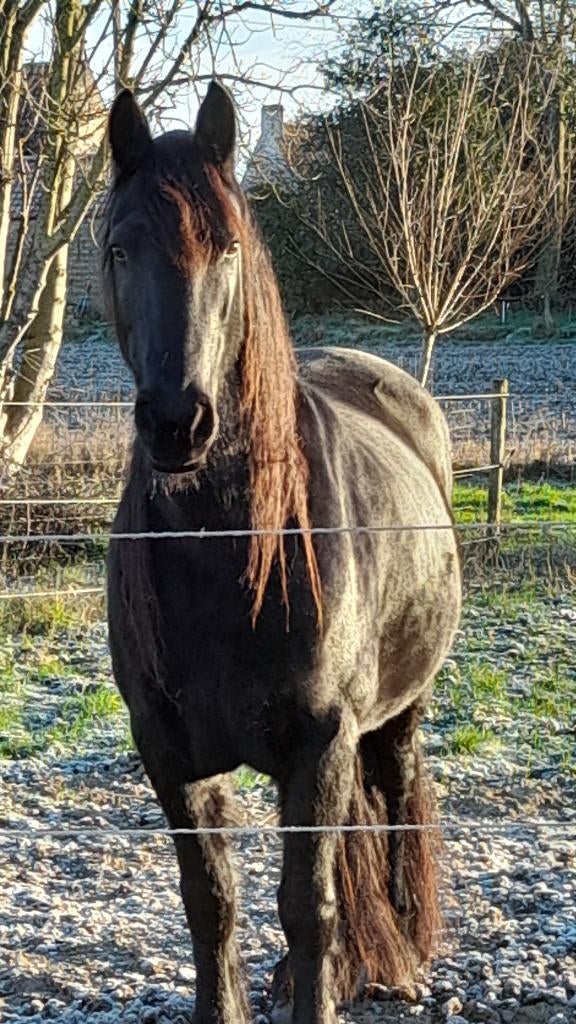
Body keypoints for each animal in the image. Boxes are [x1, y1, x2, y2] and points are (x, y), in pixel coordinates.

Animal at [104, 81, 461, 1024]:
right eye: (118, 248)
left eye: (227, 245)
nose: (177, 423)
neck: (221, 554)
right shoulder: (170, 753)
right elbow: (213, 903)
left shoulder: (321, 743)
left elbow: (309, 907)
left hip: (395, 716)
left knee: (395, 793)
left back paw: (404, 951)